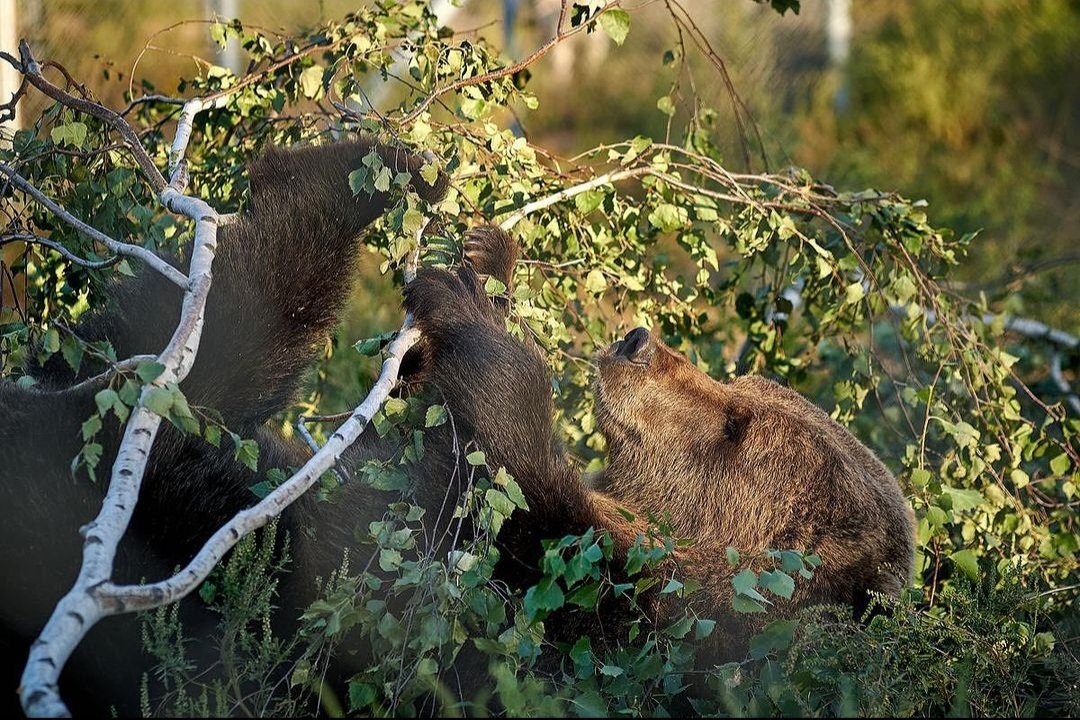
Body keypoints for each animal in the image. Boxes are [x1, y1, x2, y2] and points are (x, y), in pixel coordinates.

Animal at [0, 139, 916, 716]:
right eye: (745, 385)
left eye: (737, 425)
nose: (637, 341)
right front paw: (485, 259)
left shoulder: (580, 615)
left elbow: (497, 508)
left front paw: (471, 309)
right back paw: (354, 172)